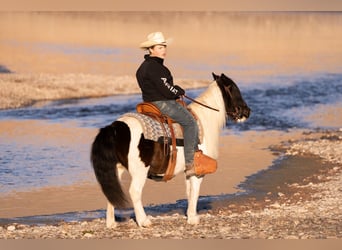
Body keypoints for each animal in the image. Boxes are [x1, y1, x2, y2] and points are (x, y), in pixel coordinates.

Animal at [91, 73, 251, 229]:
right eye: (234, 89)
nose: (247, 112)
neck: (204, 122)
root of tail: (115, 128)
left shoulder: (189, 171)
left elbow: (189, 192)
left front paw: (190, 216)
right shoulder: (198, 172)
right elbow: (195, 192)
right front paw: (193, 218)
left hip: (116, 169)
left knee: (111, 190)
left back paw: (111, 223)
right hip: (139, 171)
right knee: (134, 191)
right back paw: (144, 221)